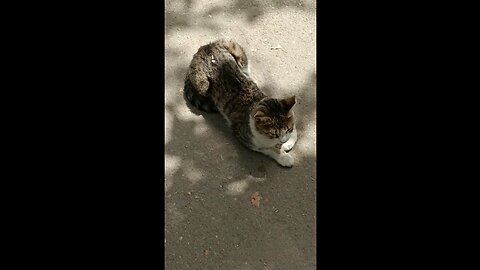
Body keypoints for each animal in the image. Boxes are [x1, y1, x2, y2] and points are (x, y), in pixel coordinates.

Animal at [183, 39, 296, 168]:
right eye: (274, 134)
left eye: (287, 129)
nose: (283, 140)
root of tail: (205, 47)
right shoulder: (246, 139)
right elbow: (269, 149)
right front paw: (283, 156)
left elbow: (295, 132)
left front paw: (287, 143)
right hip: (203, 85)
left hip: (237, 51)